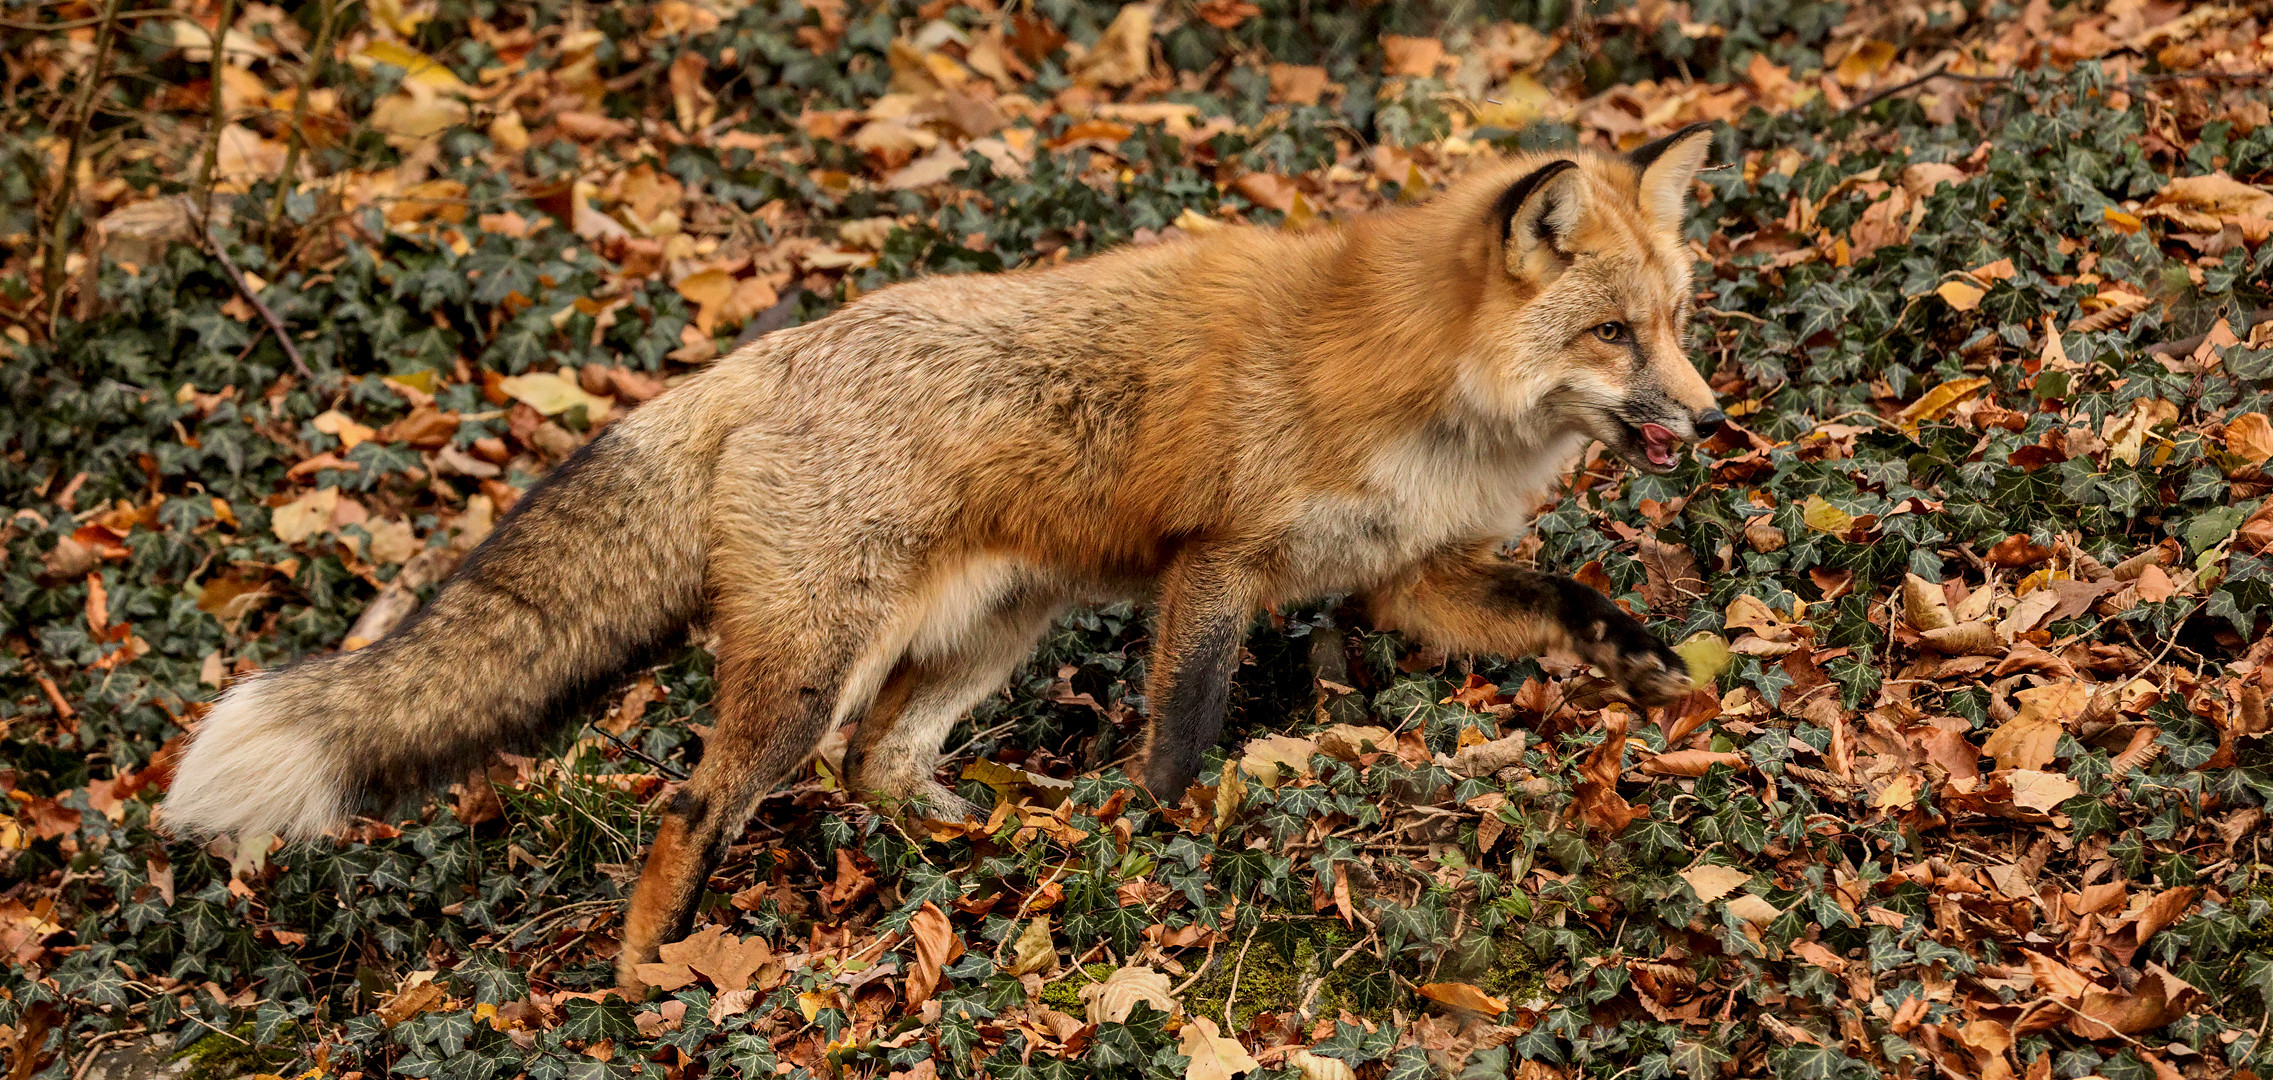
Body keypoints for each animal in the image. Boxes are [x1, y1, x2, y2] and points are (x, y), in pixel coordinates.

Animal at [160, 122, 1718, 991]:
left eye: (1677, 319)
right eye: (1610, 335)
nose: (1707, 419)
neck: (1424, 390)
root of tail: (761, 356)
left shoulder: (1406, 573)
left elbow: (1561, 603)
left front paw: (1650, 672)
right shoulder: (1216, 564)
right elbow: (1180, 736)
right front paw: (1171, 848)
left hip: (987, 634)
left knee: (880, 768)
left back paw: (996, 851)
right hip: (810, 675)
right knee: (695, 807)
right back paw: (645, 979)